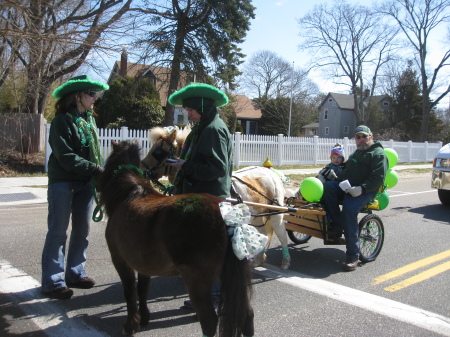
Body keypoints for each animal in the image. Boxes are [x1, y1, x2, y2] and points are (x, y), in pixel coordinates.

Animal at [96, 139, 255, 336]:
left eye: (158, 152)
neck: (130, 194)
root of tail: (227, 216)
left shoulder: (120, 259)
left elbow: (129, 290)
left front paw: (130, 325)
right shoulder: (144, 263)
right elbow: (142, 289)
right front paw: (144, 318)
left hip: (197, 281)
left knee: (209, 320)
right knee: (247, 316)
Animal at [142, 126, 294, 270]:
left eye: (158, 152)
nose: (142, 170)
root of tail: (271, 173)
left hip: (276, 214)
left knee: (282, 235)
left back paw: (285, 261)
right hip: (257, 216)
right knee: (263, 233)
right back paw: (258, 260)